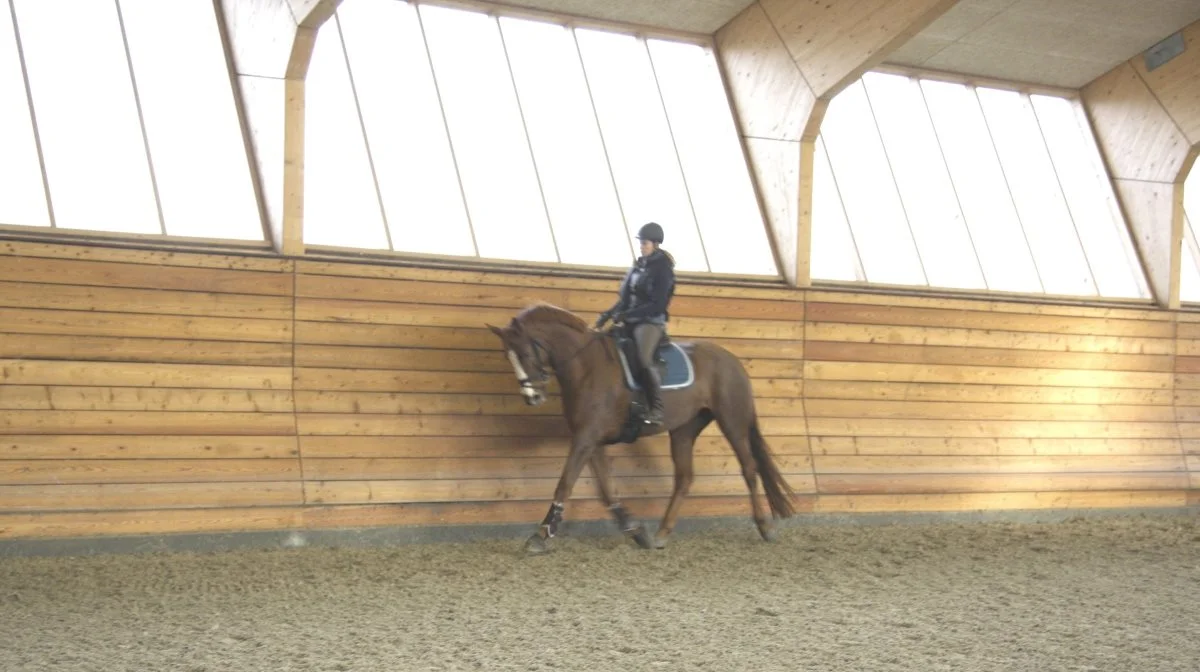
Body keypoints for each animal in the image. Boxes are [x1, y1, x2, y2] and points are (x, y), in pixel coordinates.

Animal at [487, 302, 796, 554]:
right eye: (507, 356)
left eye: (525, 353)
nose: (532, 397)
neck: (586, 365)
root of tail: (732, 361)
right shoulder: (591, 439)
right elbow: (606, 489)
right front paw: (635, 530)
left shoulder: (586, 438)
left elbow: (565, 484)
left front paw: (541, 535)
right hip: (684, 429)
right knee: (684, 477)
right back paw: (661, 534)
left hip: (732, 421)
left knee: (749, 468)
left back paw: (765, 527)